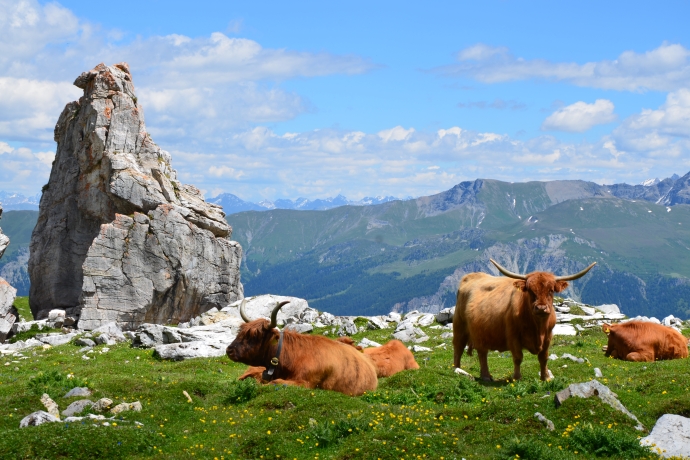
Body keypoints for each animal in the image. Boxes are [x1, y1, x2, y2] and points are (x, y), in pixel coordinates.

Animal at [453, 259, 596, 381]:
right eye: (531, 291)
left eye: (551, 290)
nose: (541, 308)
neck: (538, 327)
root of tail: (471, 276)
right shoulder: (513, 336)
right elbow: (518, 357)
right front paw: (517, 377)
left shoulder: (548, 336)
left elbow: (543, 357)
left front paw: (545, 377)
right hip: (459, 326)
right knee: (459, 348)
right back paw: (458, 370)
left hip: (480, 333)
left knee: (482, 353)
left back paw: (485, 375)